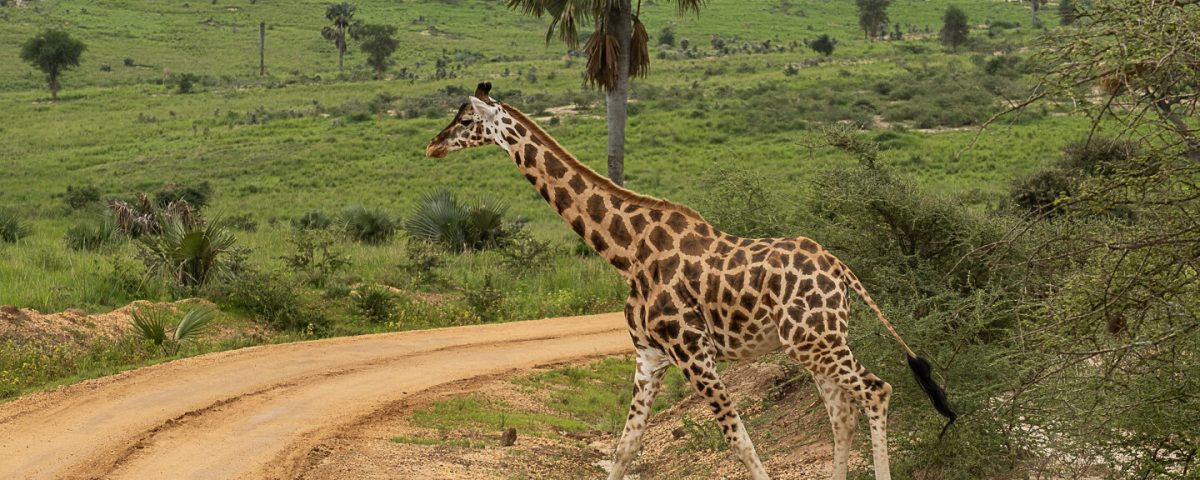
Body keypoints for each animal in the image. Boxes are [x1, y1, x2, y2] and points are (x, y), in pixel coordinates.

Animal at [427, 83, 950, 480]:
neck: (626, 252)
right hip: (813, 343)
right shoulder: (649, 357)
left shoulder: (693, 352)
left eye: (465, 119)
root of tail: (842, 270)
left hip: (816, 341)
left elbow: (739, 440)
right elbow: (624, 451)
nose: (432, 145)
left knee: (876, 391)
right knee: (842, 413)